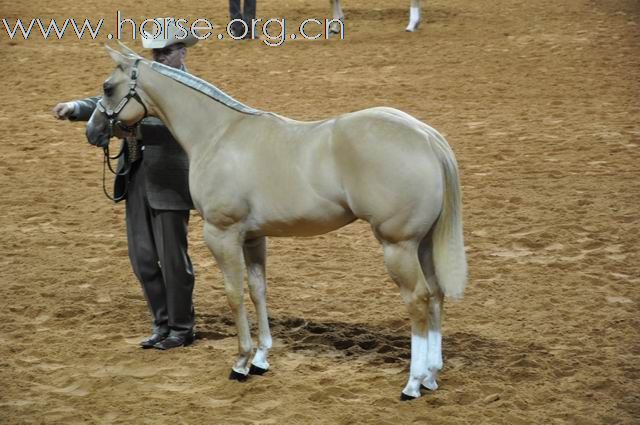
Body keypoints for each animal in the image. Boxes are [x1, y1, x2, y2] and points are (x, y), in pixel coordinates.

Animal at [87, 44, 468, 400]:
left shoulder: (222, 234)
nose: (93, 131)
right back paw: (431, 376)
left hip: (398, 246)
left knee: (418, 299)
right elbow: (258, 291)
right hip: (422, 244)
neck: (218, 134)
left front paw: (241, 362)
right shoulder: (254, 237)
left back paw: (413, 383)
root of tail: (426, 137)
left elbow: (234, 294)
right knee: (436, 295)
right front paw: (261, 358)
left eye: (108, 87)